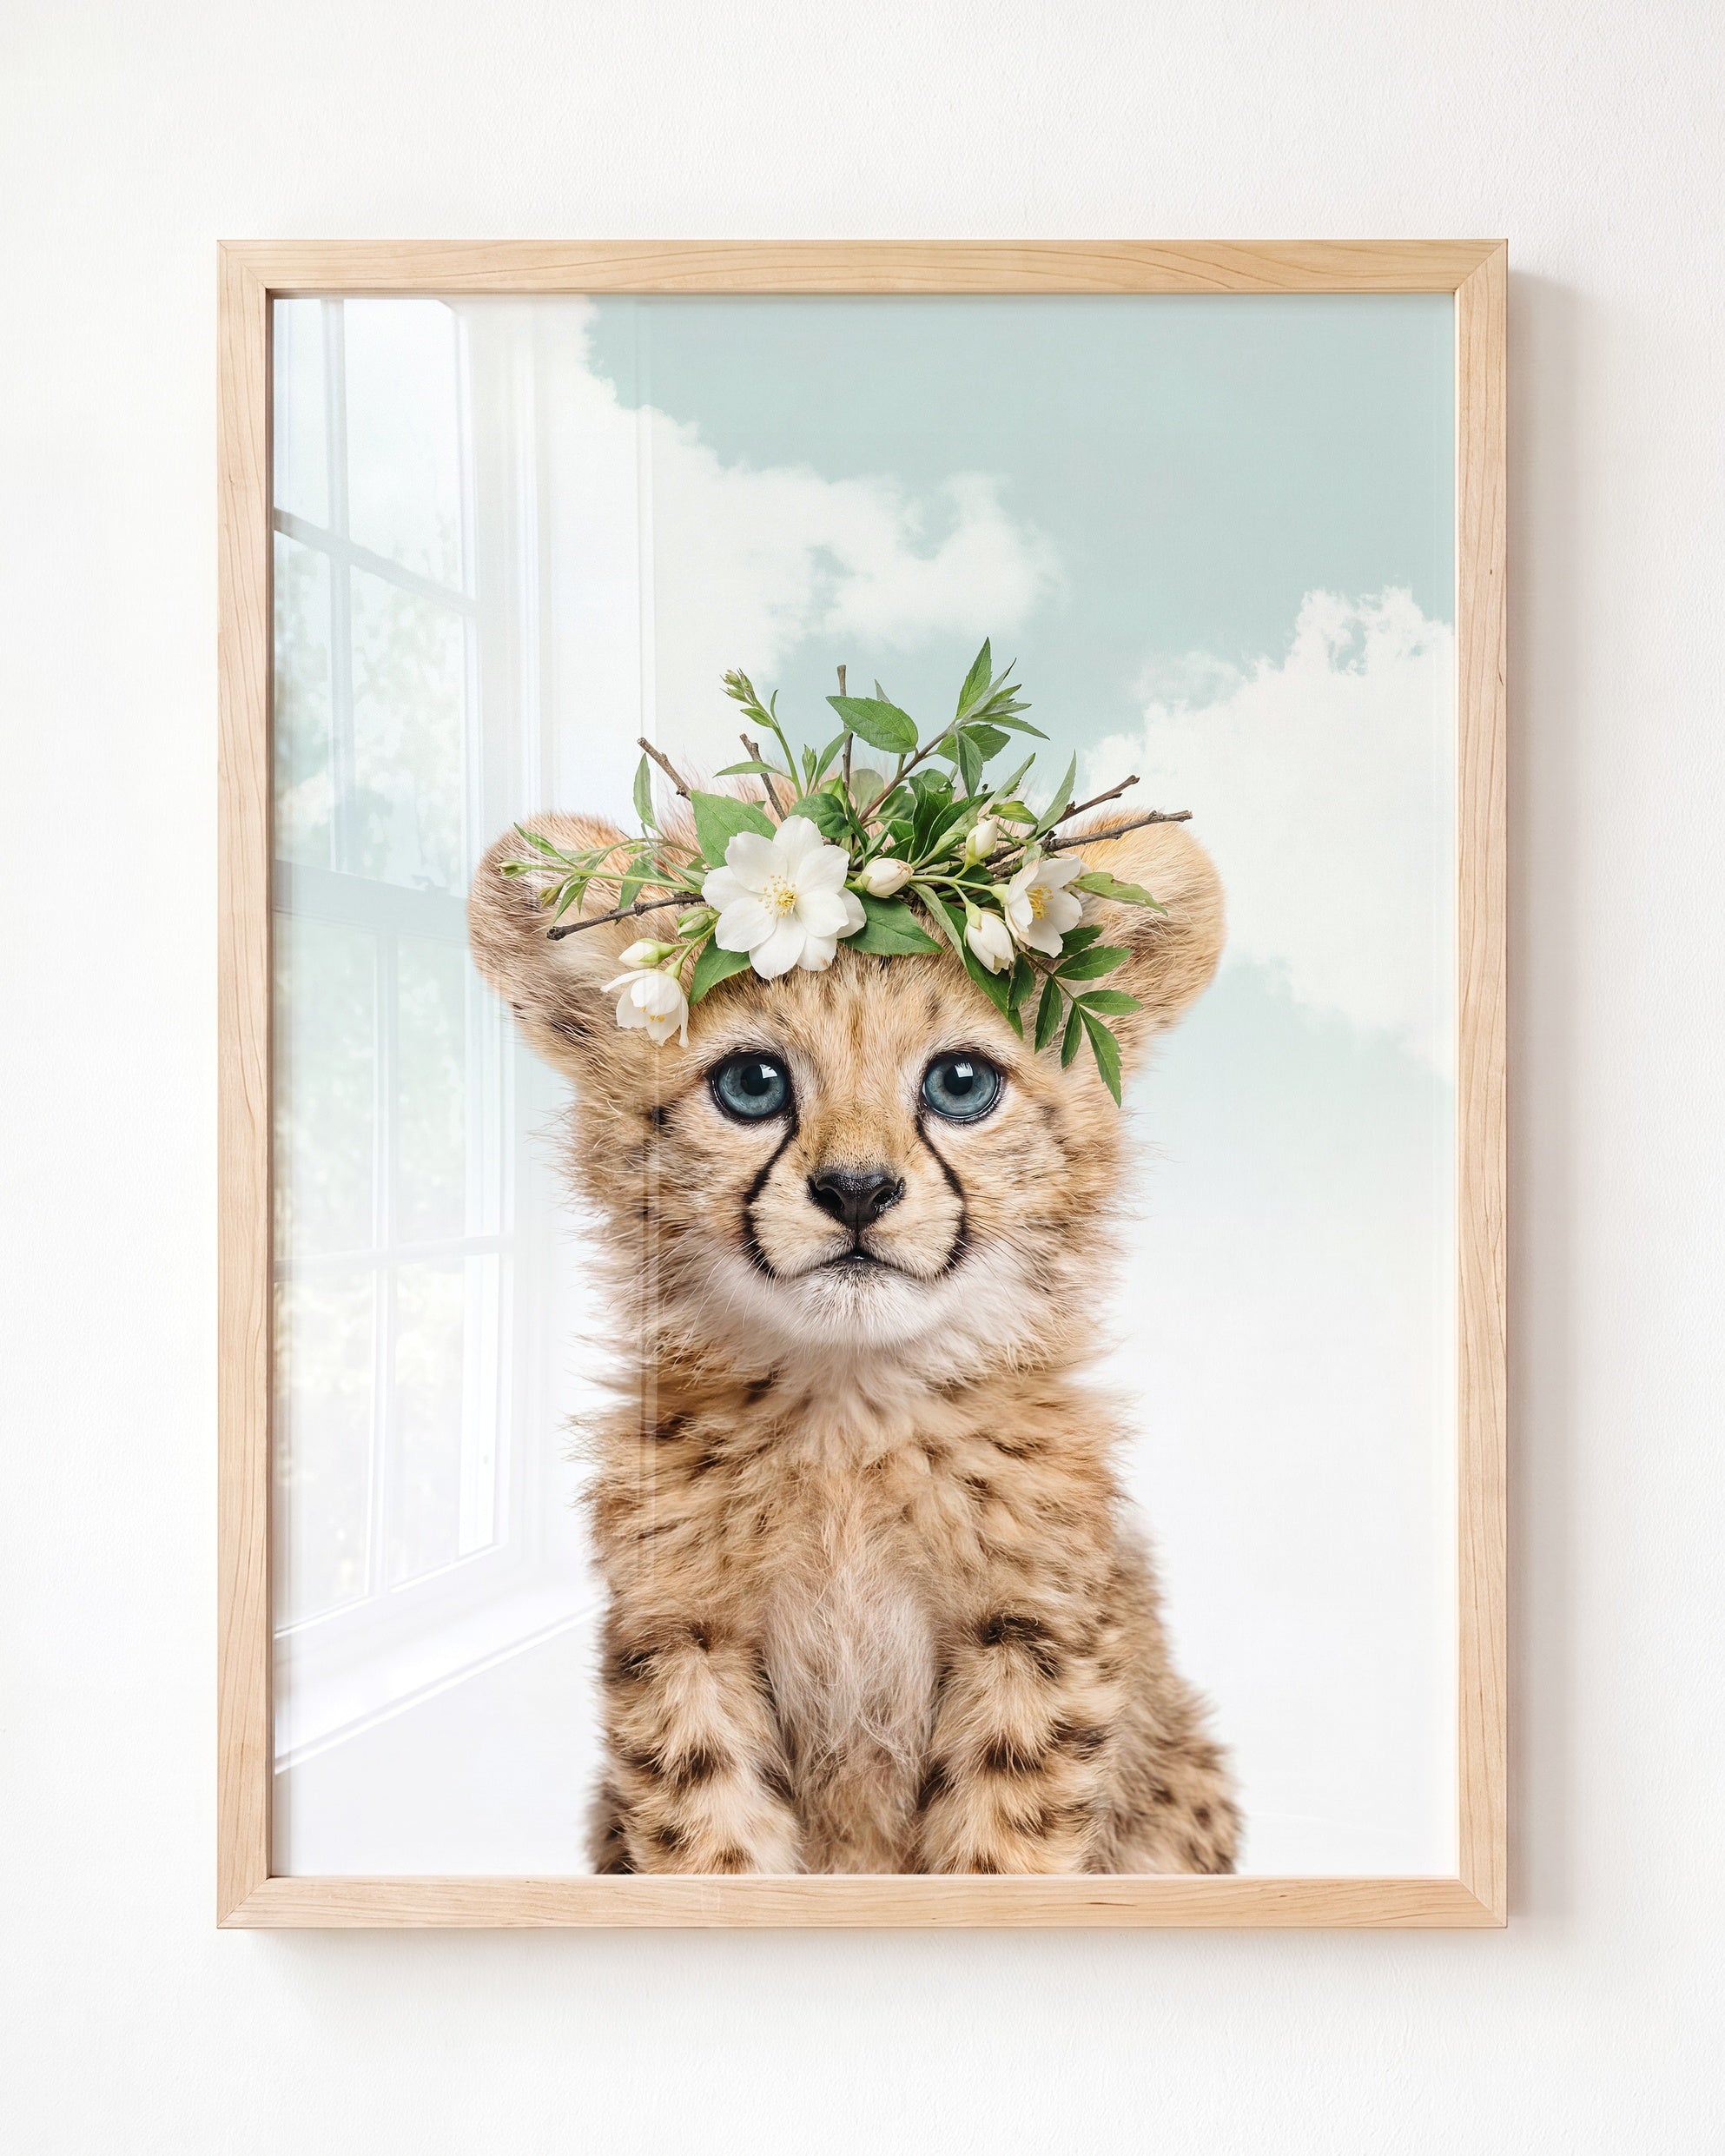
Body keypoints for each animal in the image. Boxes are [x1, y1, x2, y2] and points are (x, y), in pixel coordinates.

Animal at [468, 805, 1239, 1875]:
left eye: (961, 1082)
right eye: (753, 1083)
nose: (858, 1190)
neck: (850, 1412)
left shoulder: (1033, 1638)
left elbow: (1001, 1853)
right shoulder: (684, 1637)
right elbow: (711, 1845)